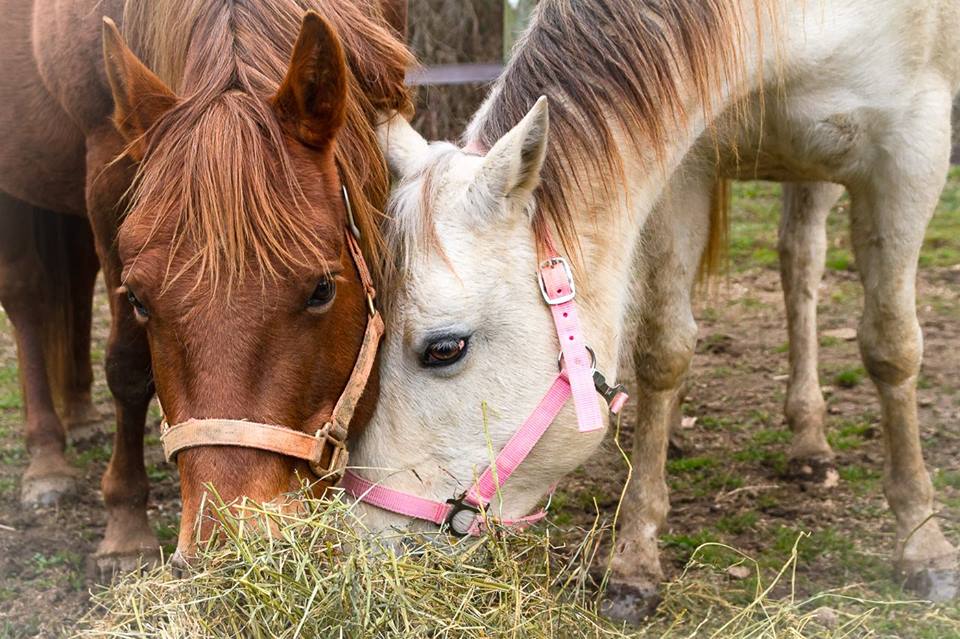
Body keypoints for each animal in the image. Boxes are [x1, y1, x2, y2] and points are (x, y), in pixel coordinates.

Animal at [0, 0, 411, 578]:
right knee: (28, 296)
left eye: (322, 290)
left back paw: (79, 414)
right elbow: (128, 366)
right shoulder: (106, 163)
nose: (231, 550)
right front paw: (125, 523)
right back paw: (47, 460)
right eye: (138, 300)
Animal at [343, 0, 960, 621]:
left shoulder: (913, 150)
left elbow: (891, 346)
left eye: (445, 349)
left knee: (803, 266)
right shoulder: (684, 161)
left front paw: (923, 542)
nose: (367, 543)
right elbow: (665, 351)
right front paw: (634, 562)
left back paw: (810, 441)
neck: (795, 27)